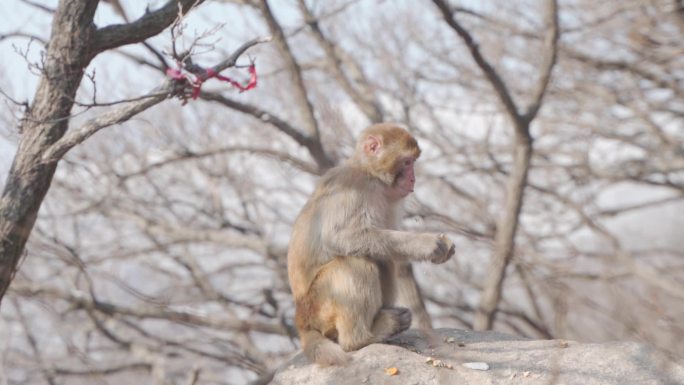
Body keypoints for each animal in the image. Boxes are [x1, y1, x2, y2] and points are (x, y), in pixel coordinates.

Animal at [288, 124, 454, 366]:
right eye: (407, 163)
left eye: (413, 161)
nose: (413, 179)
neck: (370, 174)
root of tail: (301, 319)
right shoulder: (354, 187)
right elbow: (338, 238)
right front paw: (426, 244)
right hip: (318, 306)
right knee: (355, 262)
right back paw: (362, 338)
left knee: (381, 258)